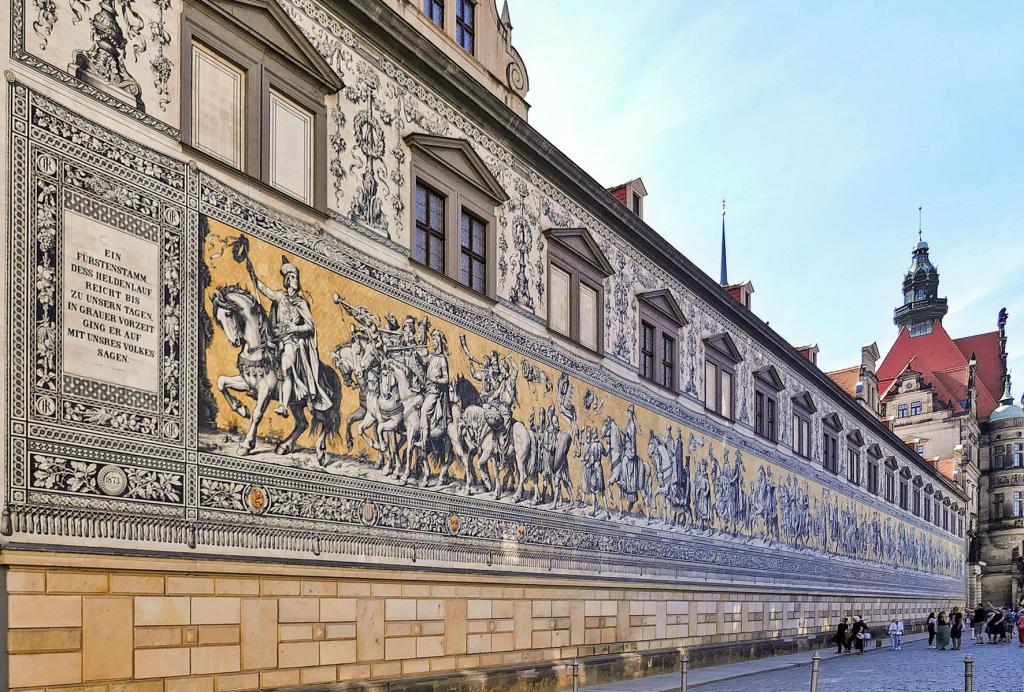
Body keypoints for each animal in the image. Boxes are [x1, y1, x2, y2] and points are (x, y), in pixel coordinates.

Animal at [209, 284, 342, 466]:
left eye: (228, 314)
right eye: (219, 319)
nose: (234, 342)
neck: (258, 350)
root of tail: (334, 375)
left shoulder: (266, 390)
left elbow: (257, 414)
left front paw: (246, 445)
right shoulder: (246, 382)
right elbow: (222, 382)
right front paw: (241, 409)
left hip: (317, 405)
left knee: (327, 422)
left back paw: (320, 452)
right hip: (296, 404)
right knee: (303, 424)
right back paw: (284, 446)